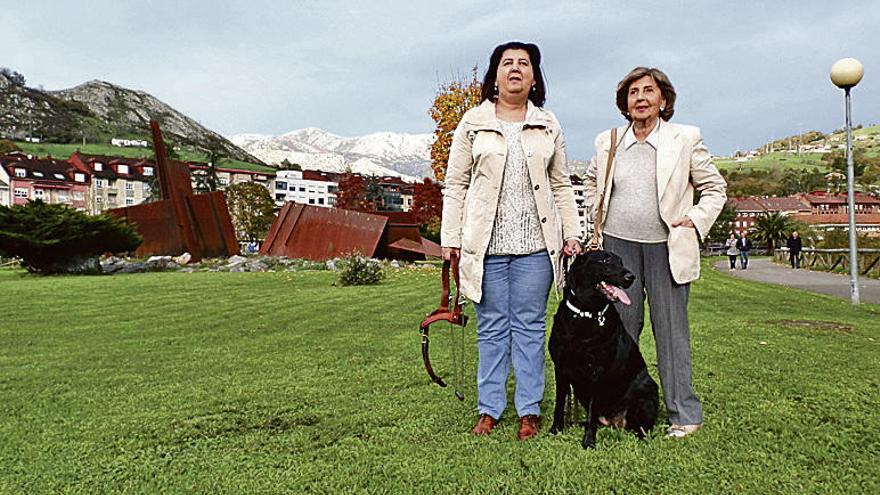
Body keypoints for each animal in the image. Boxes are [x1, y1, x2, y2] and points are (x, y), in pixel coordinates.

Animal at [548, 252, 656, 450]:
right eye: (605, 260)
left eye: (621, 262)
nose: (631, 277)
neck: (586, 313)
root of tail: (615, 422)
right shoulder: (561, 369)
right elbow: (559, 404)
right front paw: (556, 429)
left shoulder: (596, 373)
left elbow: (592, 412)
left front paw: (588, 441)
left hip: (647, 395)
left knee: (643, 428)